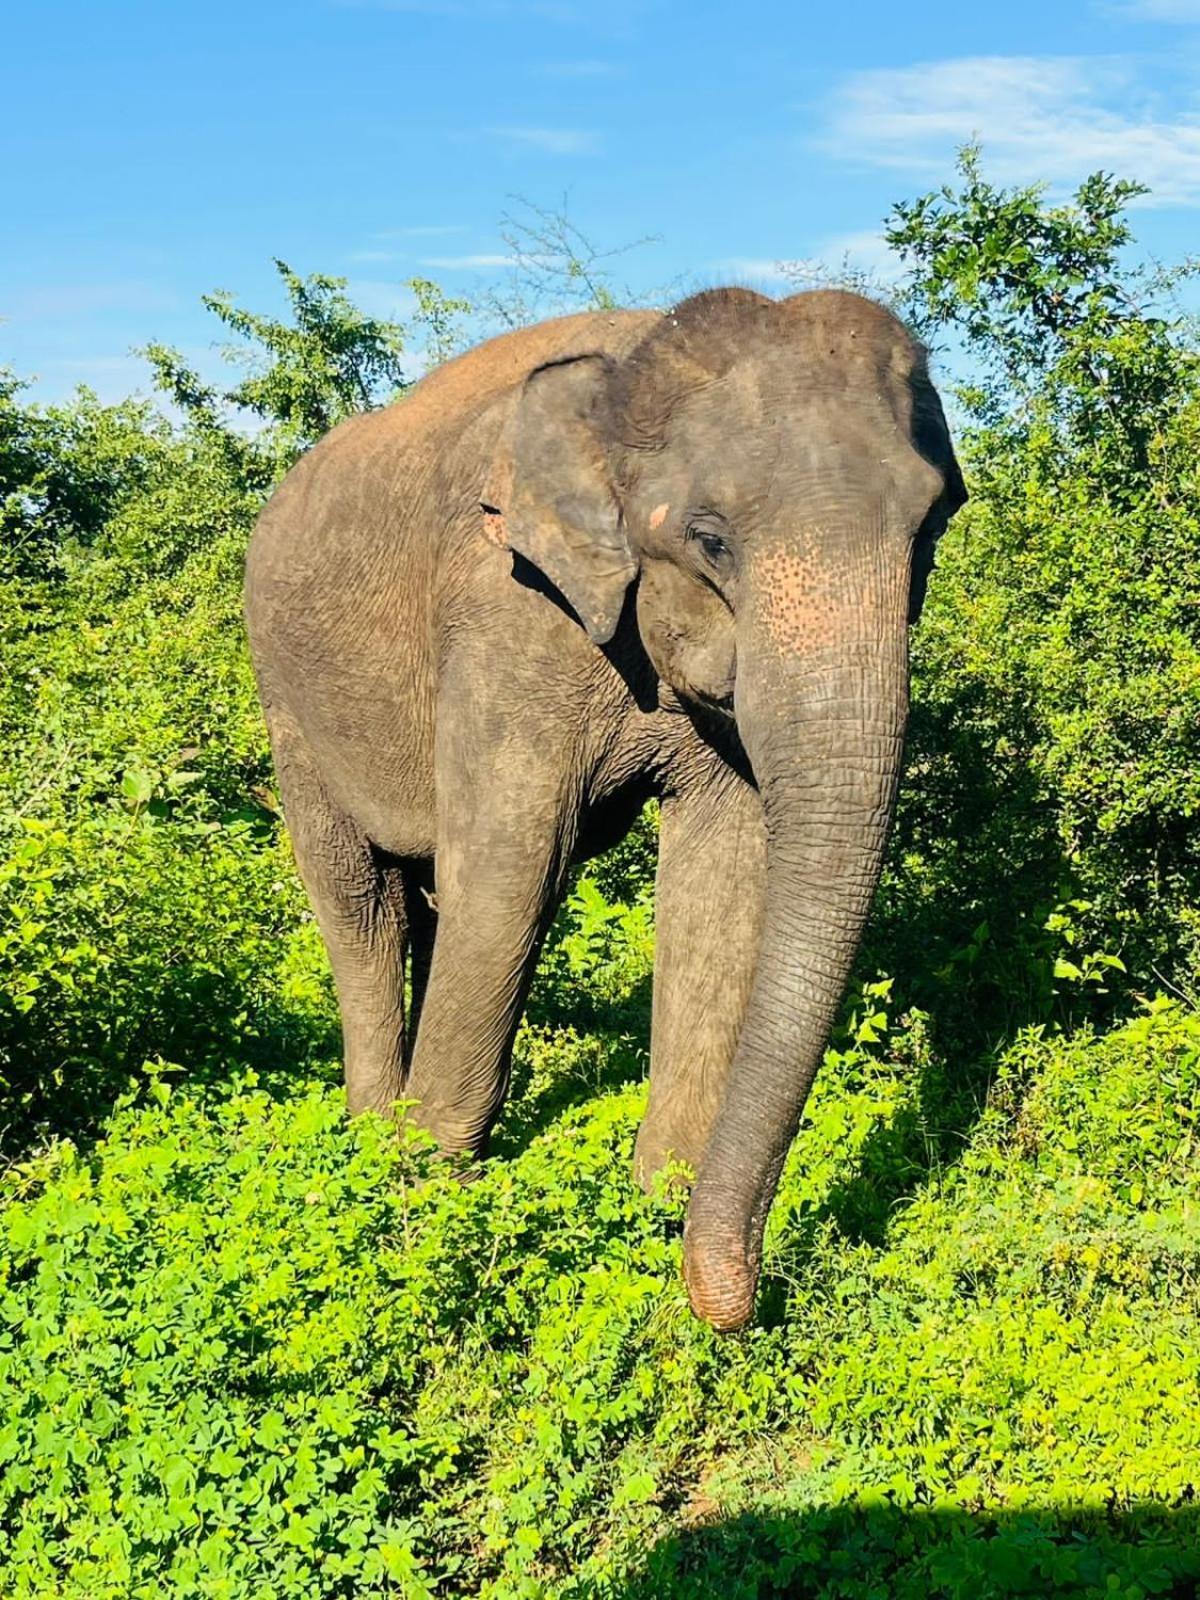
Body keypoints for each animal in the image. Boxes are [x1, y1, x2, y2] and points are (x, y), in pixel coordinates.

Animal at [244, 291, 966, 1337]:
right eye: (710, 540)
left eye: (930, 531)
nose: (738, 1298)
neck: (628, 371)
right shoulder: (505, 609)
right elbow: (510, 874)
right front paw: (431, 1202)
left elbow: (723, 876)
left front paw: (662, 1200)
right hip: (286, 697)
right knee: (361, 903)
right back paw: (375, 1137)